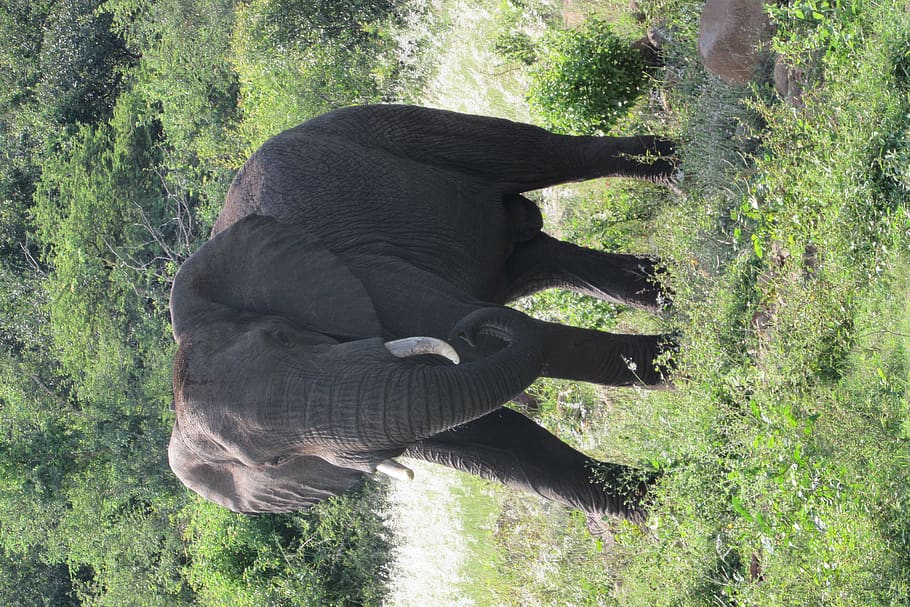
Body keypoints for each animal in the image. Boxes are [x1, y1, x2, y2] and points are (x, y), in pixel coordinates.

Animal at [168, 104, 679, 522]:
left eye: (283, 336)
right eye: (273, 462)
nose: (468, 331)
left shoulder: (368, 276)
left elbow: (524, 350)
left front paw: (687, 365)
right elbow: (500, 446)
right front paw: (658, 506)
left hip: (391, 127)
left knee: (543, 154)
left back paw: (678, 171)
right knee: (553, 261)